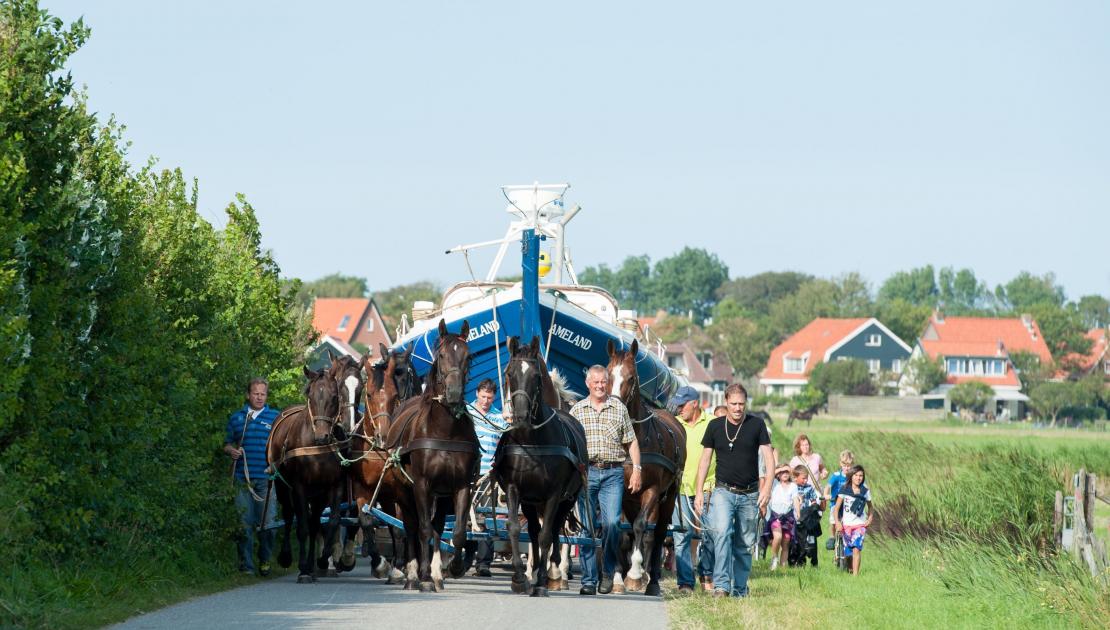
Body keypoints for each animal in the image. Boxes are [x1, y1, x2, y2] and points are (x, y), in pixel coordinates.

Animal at [381, 319, 477, 590]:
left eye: (468, 356)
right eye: (441, 355)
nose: (453, 393)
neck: (446, 430)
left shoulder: (460, 486)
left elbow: (456, 532)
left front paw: (453, 567)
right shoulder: (421, 485)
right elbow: (422, 529)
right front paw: (420, 576)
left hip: (440, 496)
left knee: (436, 527)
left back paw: (432, 572)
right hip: (405, 491)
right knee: (412, 526)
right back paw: (416, 574)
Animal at [608, 339, 683, 594]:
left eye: (631, 377)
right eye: (608, 374)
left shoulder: (651, 490)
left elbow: (642, 526)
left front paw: (635, 572)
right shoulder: (620, 491)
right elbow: (623, 534)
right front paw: (619, 578)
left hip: (668, 496)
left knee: (656, 534)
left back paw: (652, 580)